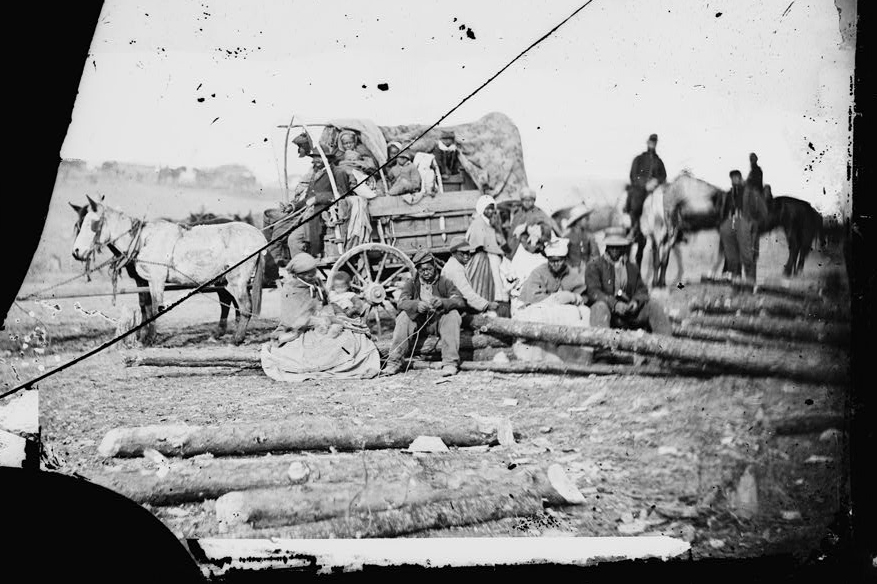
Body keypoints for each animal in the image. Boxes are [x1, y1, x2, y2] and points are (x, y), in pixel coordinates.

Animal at [72, 194, 266, 344]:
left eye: (92, 223)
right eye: (78, 224)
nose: (76, 252)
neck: (142, 239)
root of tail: (259, 236)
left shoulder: (156, 279)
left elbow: (154, 308)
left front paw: (150, 339)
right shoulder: (148, 281)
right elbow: (148, 306)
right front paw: (145, 337)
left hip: (237, 280)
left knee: (245, 306)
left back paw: (237, 338)